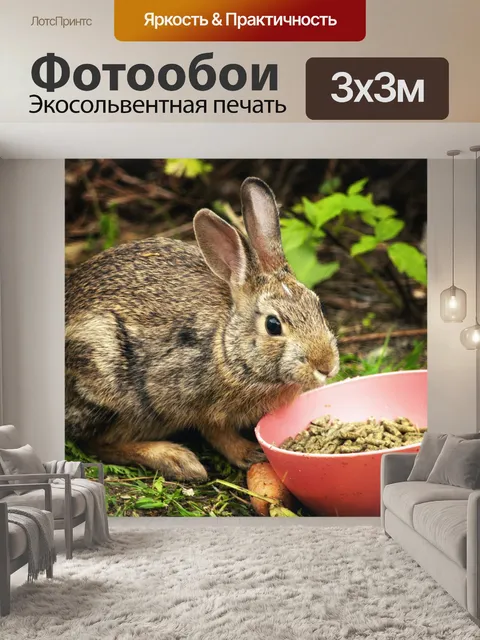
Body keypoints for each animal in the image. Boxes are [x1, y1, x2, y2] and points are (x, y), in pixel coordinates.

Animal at [65, 177, 340, 482]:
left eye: (318, 306)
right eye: (273, 325)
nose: (327, 366)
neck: (227, 345)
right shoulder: (186, 397)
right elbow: (216, 432)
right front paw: (249, 452)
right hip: (108, 379)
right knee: (96, 443)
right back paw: (176, 459)